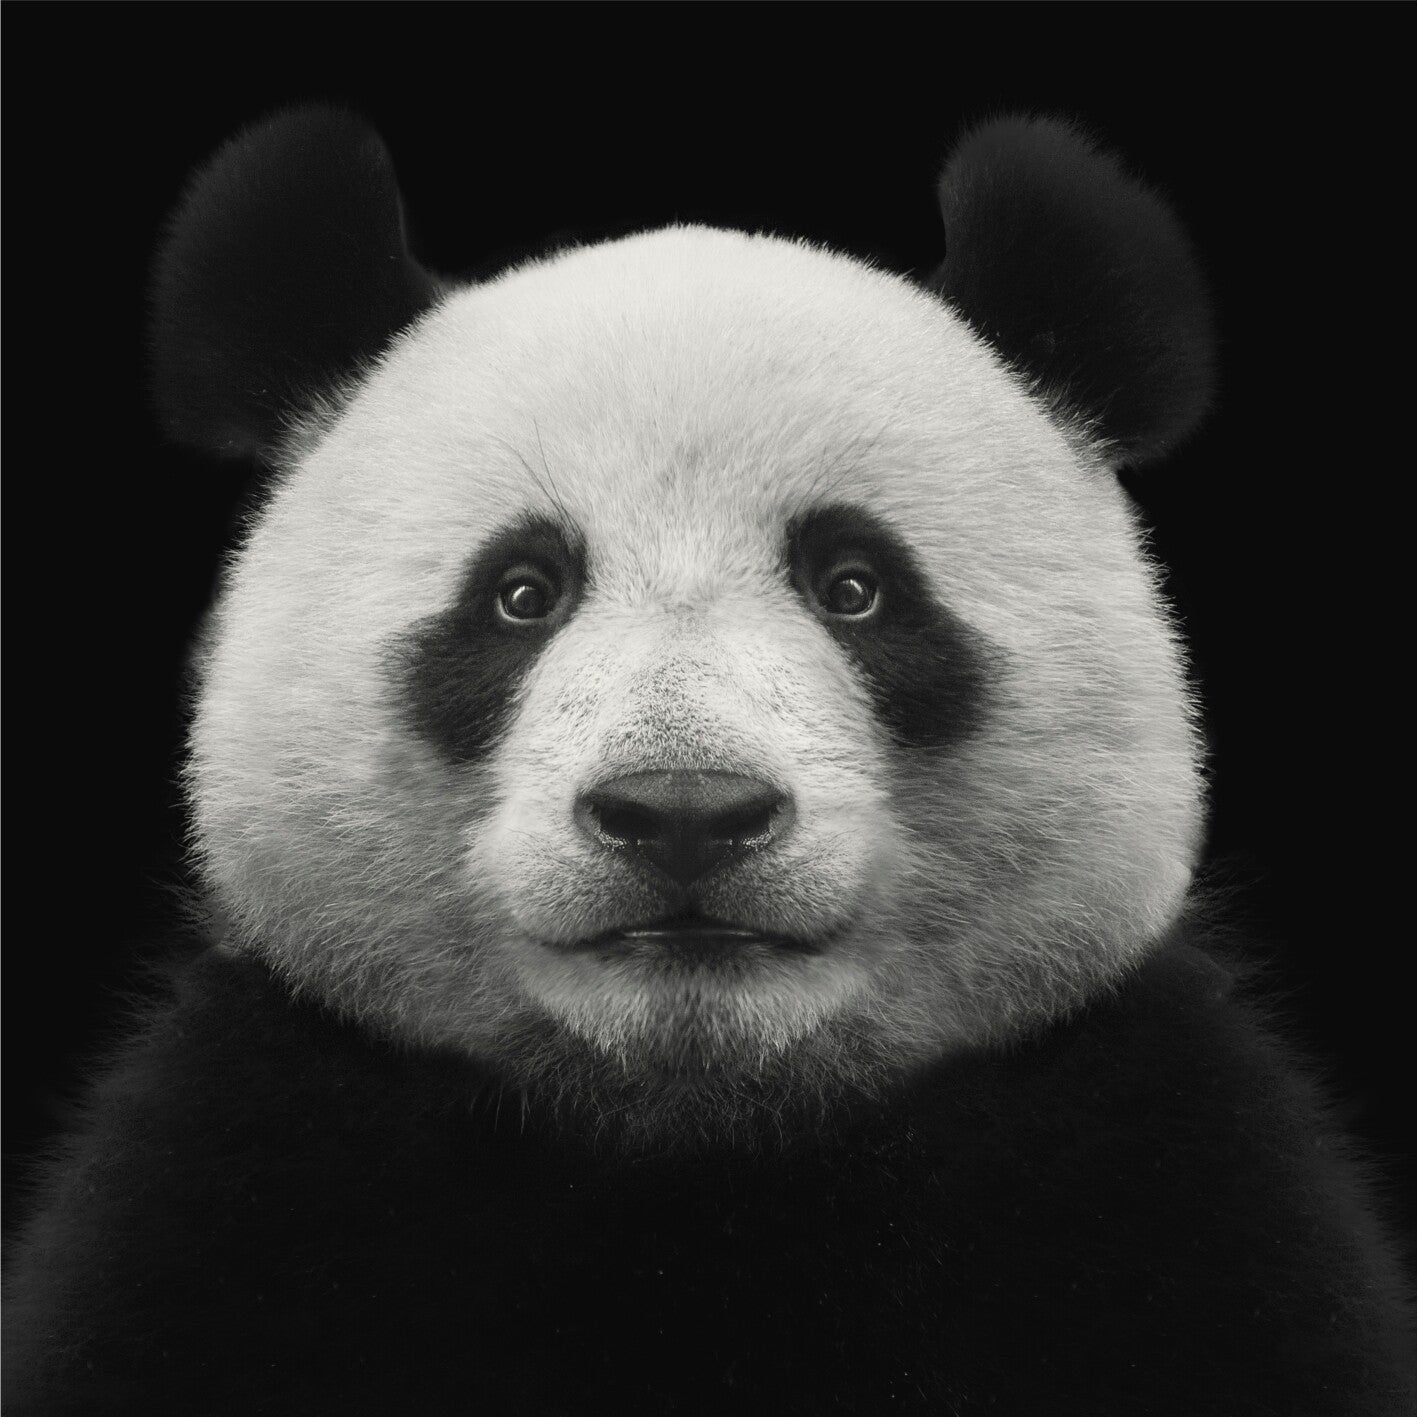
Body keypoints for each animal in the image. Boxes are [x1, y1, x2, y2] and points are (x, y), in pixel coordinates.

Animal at [4, 106, 1411, 1416]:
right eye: (520, 592)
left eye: (855, 585)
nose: (683, 810)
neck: (696, 1133)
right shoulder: (243, 1177)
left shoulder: (1158, 1178)